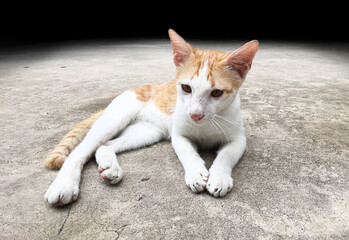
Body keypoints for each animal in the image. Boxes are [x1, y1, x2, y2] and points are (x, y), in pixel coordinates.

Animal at [43, 29, 256, 206]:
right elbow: (187, 152)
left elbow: (226, 155)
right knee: (80, 151)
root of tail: (134, 89)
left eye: (217, 93)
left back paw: (110, 167)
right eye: (186, 88)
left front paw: (219, 177)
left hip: (148, 131)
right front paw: (196, 173)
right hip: (115, 119)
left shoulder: (238, 139)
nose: (195, 115)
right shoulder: (179, 135)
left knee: (104, 146)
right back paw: (64, 185)